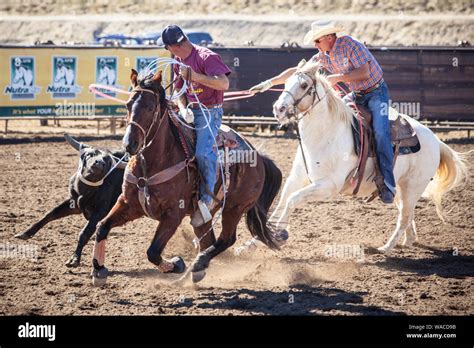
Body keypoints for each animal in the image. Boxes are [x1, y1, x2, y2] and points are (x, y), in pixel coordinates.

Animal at [90, 68, 282, 286]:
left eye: (150, 107)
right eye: (128, 105)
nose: (130, 144)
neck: (152, 164)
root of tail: (258, 156)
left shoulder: (173, 214)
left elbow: (153, 252)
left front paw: (177, 264)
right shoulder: (128, 204)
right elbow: (102, 227)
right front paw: (98, 270)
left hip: (234, 208)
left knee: (226, 240)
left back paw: (197, 265)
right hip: (202, 216)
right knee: (209, 240)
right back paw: (193, 273)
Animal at [237, 59, 466, 254]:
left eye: (303, 85)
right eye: (285, 82)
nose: (279, 108)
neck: (326, 134)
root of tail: (435, 140)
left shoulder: (328, 186)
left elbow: (293, 200)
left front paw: (280, 235)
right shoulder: (296, 178)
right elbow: (282, 202)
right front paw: (253, 244)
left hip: (412, 187)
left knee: (404, 217)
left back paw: (385, 248)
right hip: (401, 188)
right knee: (406, 216)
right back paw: (407, 241)